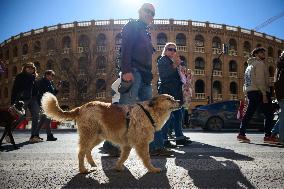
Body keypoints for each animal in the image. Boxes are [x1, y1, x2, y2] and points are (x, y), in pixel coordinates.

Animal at [40, 92, 180, 173]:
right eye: (169, 99)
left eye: (173, 98)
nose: (180, 101)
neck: (149, 112)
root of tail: (81, 108)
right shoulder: (141, 144)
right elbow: (146, 158)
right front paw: (153, 169)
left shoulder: (127, 144)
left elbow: (124, 157)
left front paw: (118, 167)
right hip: (89, 135)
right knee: (81, 153)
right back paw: (83, 169)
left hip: (97, 137)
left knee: (87, 151)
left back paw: (92, 163)